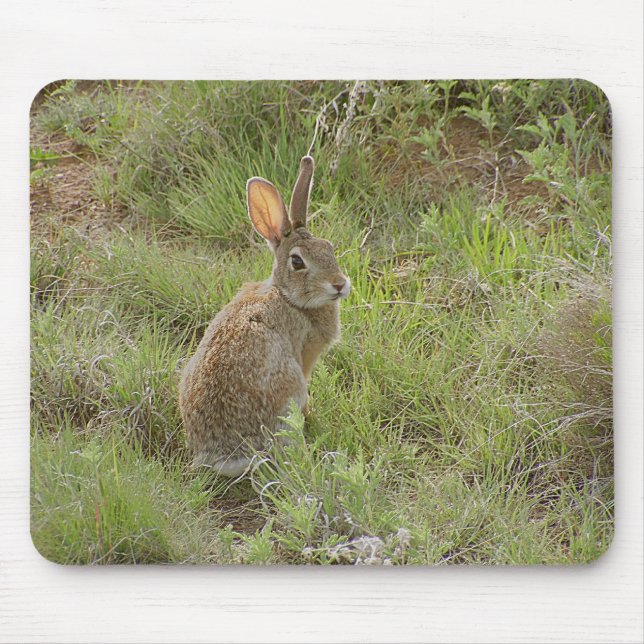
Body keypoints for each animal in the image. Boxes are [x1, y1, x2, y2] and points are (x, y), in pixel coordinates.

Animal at [179, 156, 350, 477]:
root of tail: (223, 455)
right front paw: (313, 417)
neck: (288, 298)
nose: (339, 284)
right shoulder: (305, 357)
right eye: (297, 262)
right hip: (286, 387)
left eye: (330, 248)